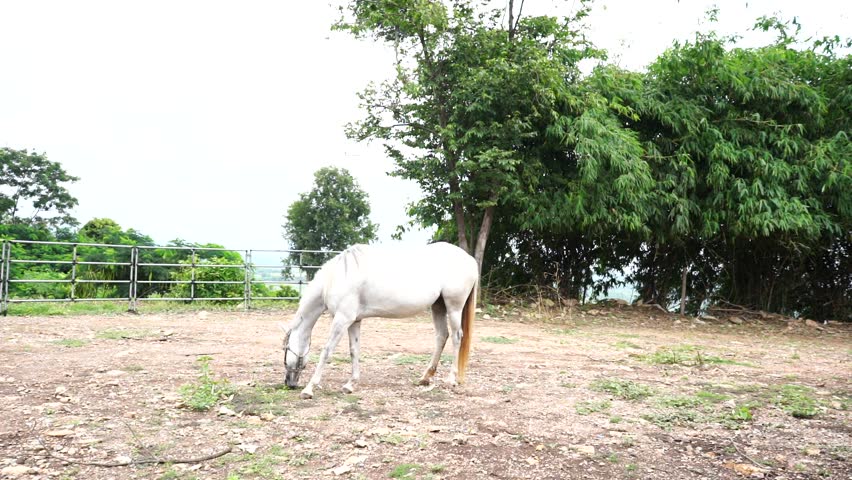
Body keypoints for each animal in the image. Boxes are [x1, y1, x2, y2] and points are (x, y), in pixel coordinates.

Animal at [280, 242, 478, 400]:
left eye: (285, 349)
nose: (289, 383)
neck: (337, 278)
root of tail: (470, 260)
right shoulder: (354, 321)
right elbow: (354, 350)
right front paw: (350, 384)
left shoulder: (342, 319)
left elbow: (327, 351)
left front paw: (309, 389)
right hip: (438, 307)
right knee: (441, 336)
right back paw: (425, 377)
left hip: (454, 307)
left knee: (456, 337)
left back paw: (451, 379)